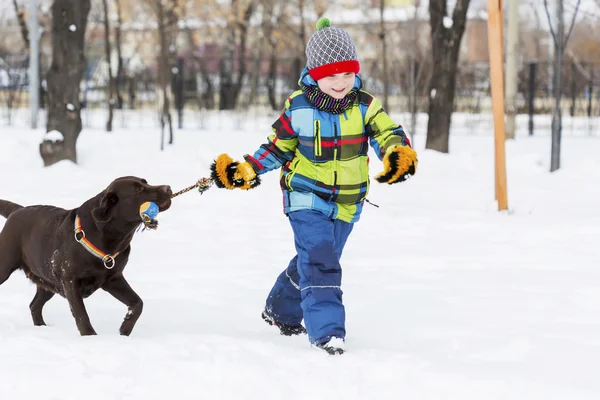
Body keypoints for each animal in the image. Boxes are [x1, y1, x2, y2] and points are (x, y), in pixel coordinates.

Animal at [0, 177, 171, 336]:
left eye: (146, 182)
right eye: (138, 190)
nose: (168, 187)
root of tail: (16, 211)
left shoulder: (113, 278)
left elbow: (138, 303)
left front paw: (125, 328)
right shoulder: (71, 282)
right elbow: (82, 315)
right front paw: (90, 337)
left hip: (48, 281)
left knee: (34, 305)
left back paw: (41, 327)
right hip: (6, 267)